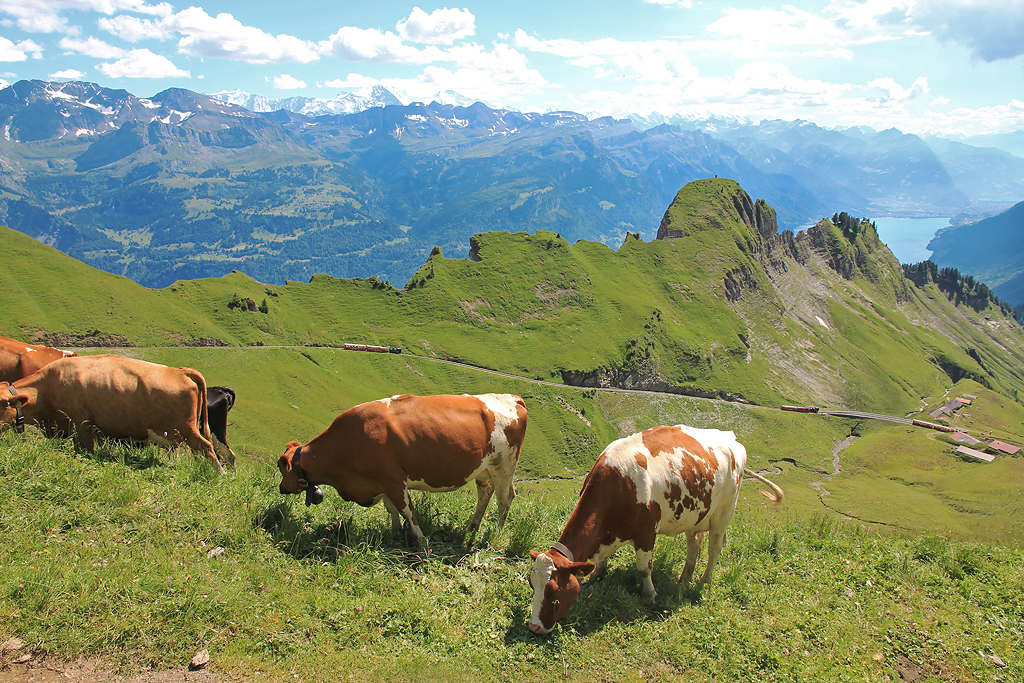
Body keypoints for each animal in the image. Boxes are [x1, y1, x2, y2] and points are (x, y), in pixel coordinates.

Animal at [0, 356, 224, 473]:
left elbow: (86, 449)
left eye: (2, 403)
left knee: (206, 447)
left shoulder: (82, 422)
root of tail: (180, 371)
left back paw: (219, 474)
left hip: (187, 428)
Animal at [278, 395, 528, 544]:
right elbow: (392, 509)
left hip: (504, 468)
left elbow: (408, 510)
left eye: (281, 469)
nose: (281, 488)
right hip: (484, 471)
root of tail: (511, 397)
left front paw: (420, 539)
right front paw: (395, 531)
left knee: (505, 499)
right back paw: (472, 527)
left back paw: (496, 533)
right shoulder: (382, 482)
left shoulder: (393, 479)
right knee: (485, 494)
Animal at [528, 428, 782, 634]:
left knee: (714, 549)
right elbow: (600, 560)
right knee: (694, 547)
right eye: (532, 584)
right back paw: (684, 579)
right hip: (696, 514)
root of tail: (731, 438)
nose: (534, 627)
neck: (618, 484)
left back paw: (704, 581)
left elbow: (643, 569)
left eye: (553, 591)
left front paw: (649, 595)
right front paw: (597, 575)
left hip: (724, 513)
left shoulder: (646, 534)